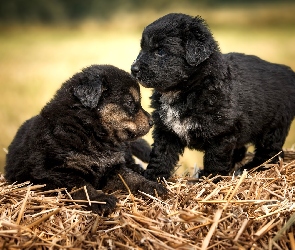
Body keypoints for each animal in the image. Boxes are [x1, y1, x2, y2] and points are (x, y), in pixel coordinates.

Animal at [132, 12, 295, 179]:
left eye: (161, 51)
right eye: (142, 48)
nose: (133, 69)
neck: (188, 90)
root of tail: (287, 72)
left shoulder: (222, 133)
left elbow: (215, 159)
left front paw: (210, 177)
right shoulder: (166, 130)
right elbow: (161, 155)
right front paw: (153, 176)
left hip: (273, 128)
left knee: (271, 154)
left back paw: (250, 168)